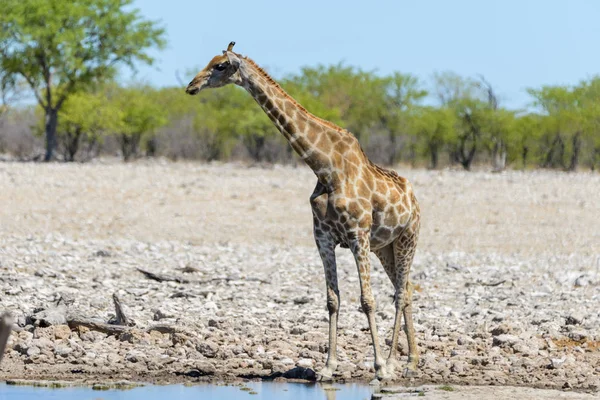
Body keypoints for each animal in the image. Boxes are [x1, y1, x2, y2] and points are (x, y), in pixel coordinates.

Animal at [185, 42, 420, 382]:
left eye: (220, 65)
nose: (191, 85)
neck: (325, 168)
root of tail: (414, 198)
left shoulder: (357, 235)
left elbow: (367, 300)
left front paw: (377, 367)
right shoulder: (322, 237)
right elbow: (333, 300)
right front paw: (328, 367)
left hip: (407, 239)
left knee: (400, 293)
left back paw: (391, 364)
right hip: (384, 248)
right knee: (408, 290)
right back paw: (412, 361)